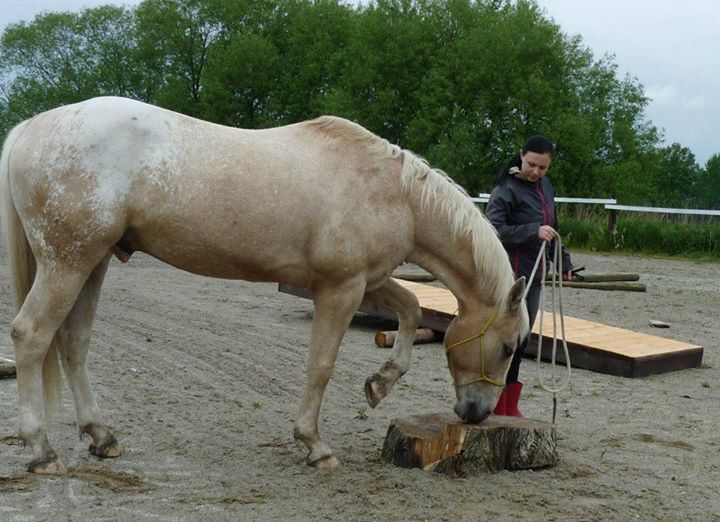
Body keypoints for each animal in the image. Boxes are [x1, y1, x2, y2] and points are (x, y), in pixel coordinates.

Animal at [0, 96, 528, 472]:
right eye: (506, 347)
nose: (477, 412)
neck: (392, 192)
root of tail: (31, 128)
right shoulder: (339, 288)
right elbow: (321, 365)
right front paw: (314, 445)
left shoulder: (366, 280)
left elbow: (413, 306)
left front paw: (379, 383)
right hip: (68, 263)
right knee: (31, 335)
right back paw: (41, 451)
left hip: (93, 263)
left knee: (73, 342)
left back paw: (101, 436)